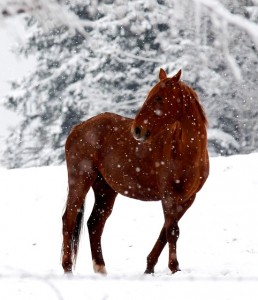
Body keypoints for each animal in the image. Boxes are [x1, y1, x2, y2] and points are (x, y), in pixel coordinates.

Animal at [61, 68, 209, 274]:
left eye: (159, 98)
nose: (138, 130)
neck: (184, 150)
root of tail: (77, 128)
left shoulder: (187, 199)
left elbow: (165, 231)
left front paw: (150, 266)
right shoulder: (169, 195)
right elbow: (172, 231)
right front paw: (174, 267)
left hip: (105, 189)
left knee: (94, 223)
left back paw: (101, 268)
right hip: (81, 180)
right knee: (69, 219)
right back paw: (67, 268)